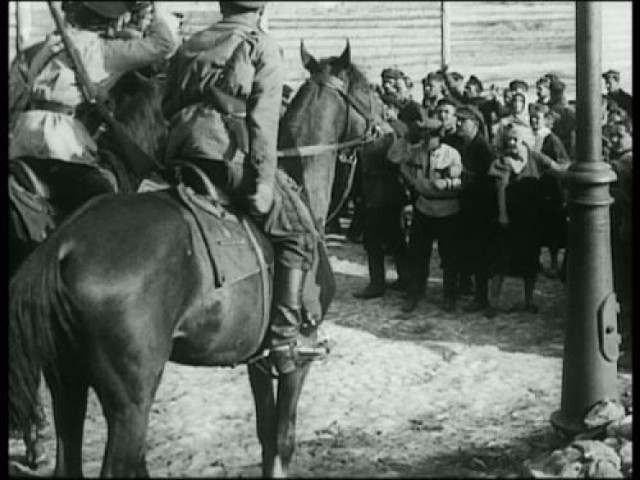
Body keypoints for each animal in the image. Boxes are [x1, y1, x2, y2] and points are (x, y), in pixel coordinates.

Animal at [7, 38, 380, 476]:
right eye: (368, 88)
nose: (387, 126)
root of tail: (64, 244)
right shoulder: (296, 358)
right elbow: (284, 439)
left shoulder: (258, 360)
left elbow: (266, 435)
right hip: (131, 402)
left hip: (68, 384)